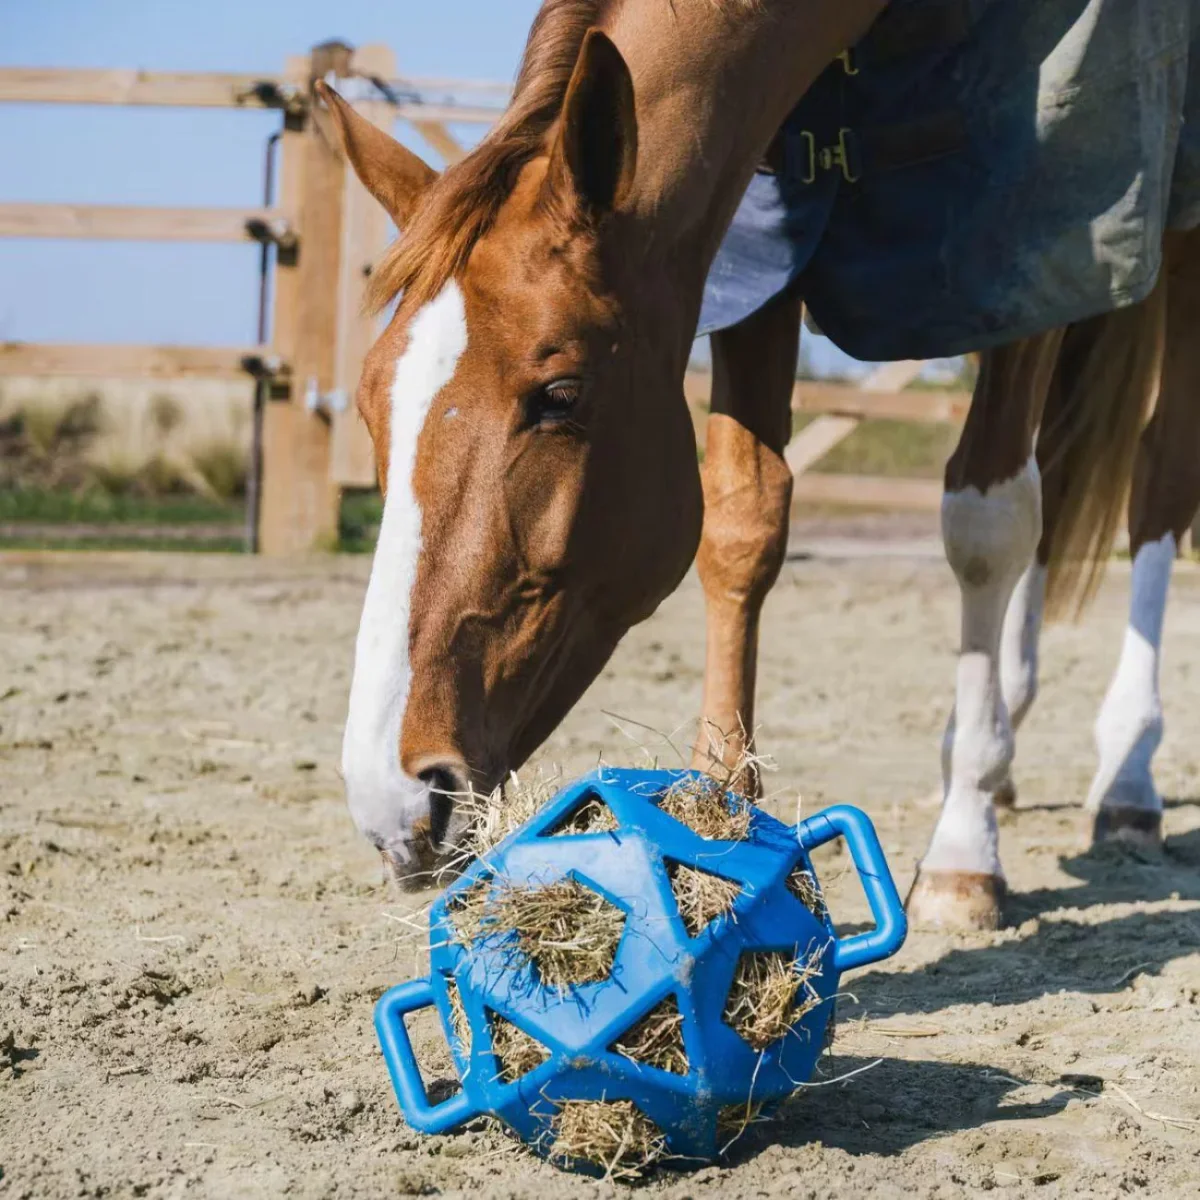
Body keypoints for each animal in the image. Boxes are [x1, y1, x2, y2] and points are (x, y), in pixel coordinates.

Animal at [320, 0, 1198, 923]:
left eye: (558, 393)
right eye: (372, 403)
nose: (396, 802)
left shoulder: (1023, 227)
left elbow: (986, 525)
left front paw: (964, 849)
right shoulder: (762, 230)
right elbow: (741, 519)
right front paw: (718, 824)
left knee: (1158, 477)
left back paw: (1126, 776)